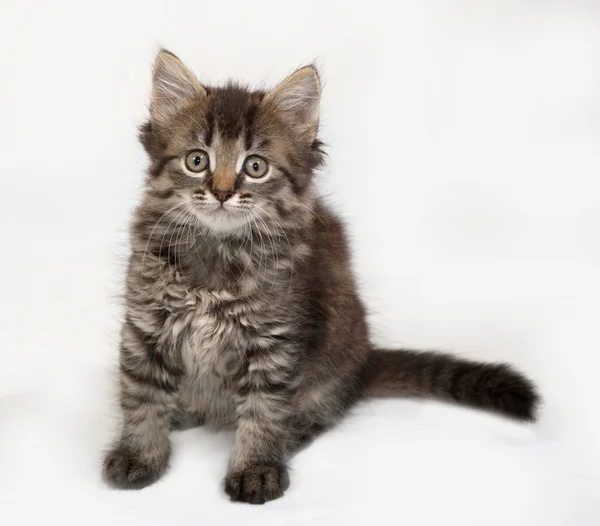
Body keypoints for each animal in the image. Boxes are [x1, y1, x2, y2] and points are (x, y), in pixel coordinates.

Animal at [103, 50, 540, 508]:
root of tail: (365, 360)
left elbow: (264, 409)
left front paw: (255, 467)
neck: (218, 256)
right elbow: (142, 396)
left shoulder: (276, 340)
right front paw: (138, 455)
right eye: (197, 160)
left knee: (316, 414)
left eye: (255, 167)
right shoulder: (146, 326)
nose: (222, 192)